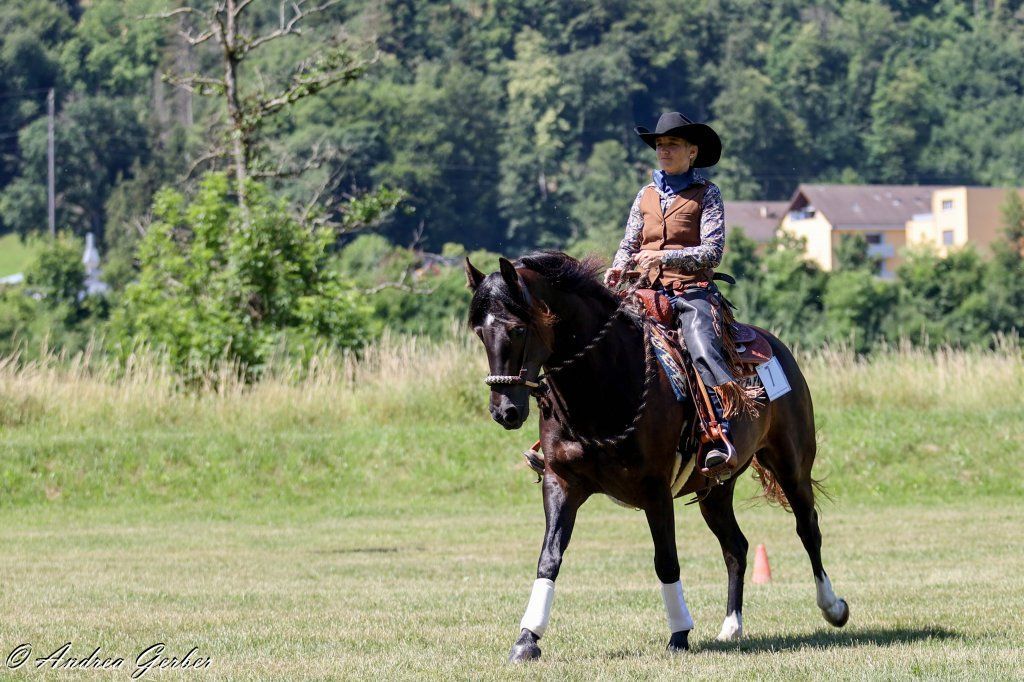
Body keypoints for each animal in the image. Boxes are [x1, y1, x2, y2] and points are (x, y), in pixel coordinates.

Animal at [464, 251, 849, 662]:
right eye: (480, 333)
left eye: (518, 330)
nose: (504, 411)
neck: (604, 384)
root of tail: (777, 347)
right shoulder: (561, 483)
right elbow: (549, 558)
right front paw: (527, 638)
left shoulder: (655, 490)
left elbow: (666, 560)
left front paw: (679, 634)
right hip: (716, 490)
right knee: (736, 548)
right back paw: (731, 626)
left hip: (791, 465)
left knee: (807, 527)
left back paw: (832, 606)